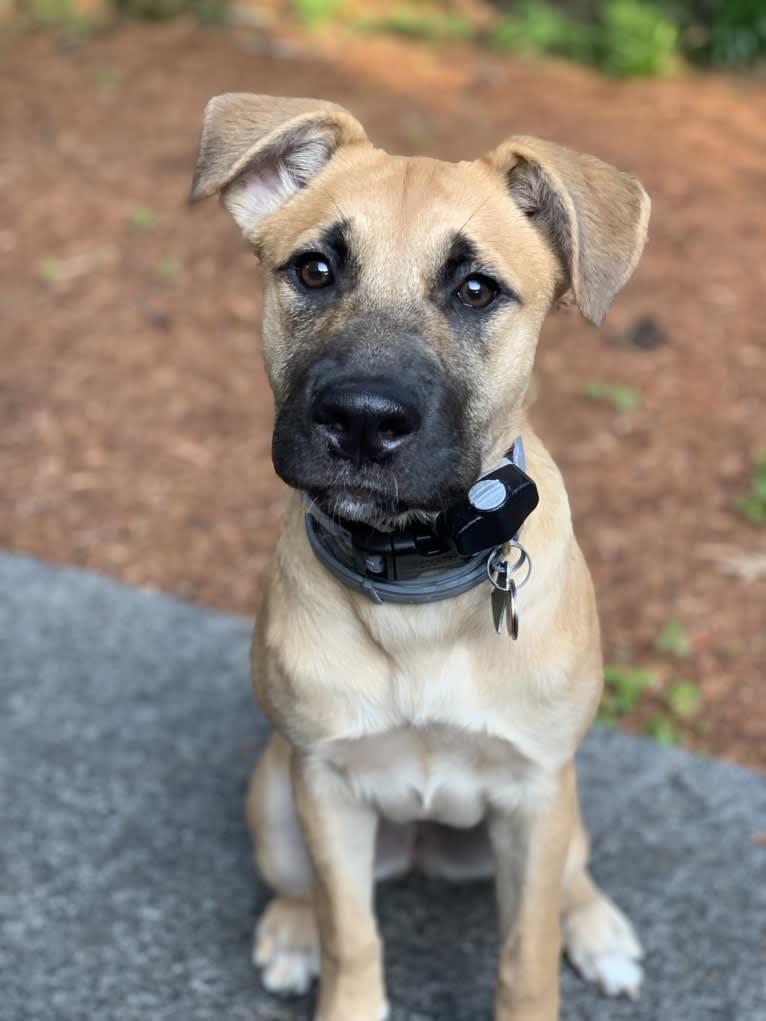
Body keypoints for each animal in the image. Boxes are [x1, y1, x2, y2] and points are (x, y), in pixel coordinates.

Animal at [190, 95, 649, 1021]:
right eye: (315, 270)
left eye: (477, 290)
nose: (362, 418)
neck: (421, 591)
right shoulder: (326, 787)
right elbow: (351, 933)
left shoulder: (537, 792)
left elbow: (526, 952)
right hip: (274, 794)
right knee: (296, 886)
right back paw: (289, 932)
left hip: (563, 807)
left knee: (572, 880)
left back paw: (600, 928)